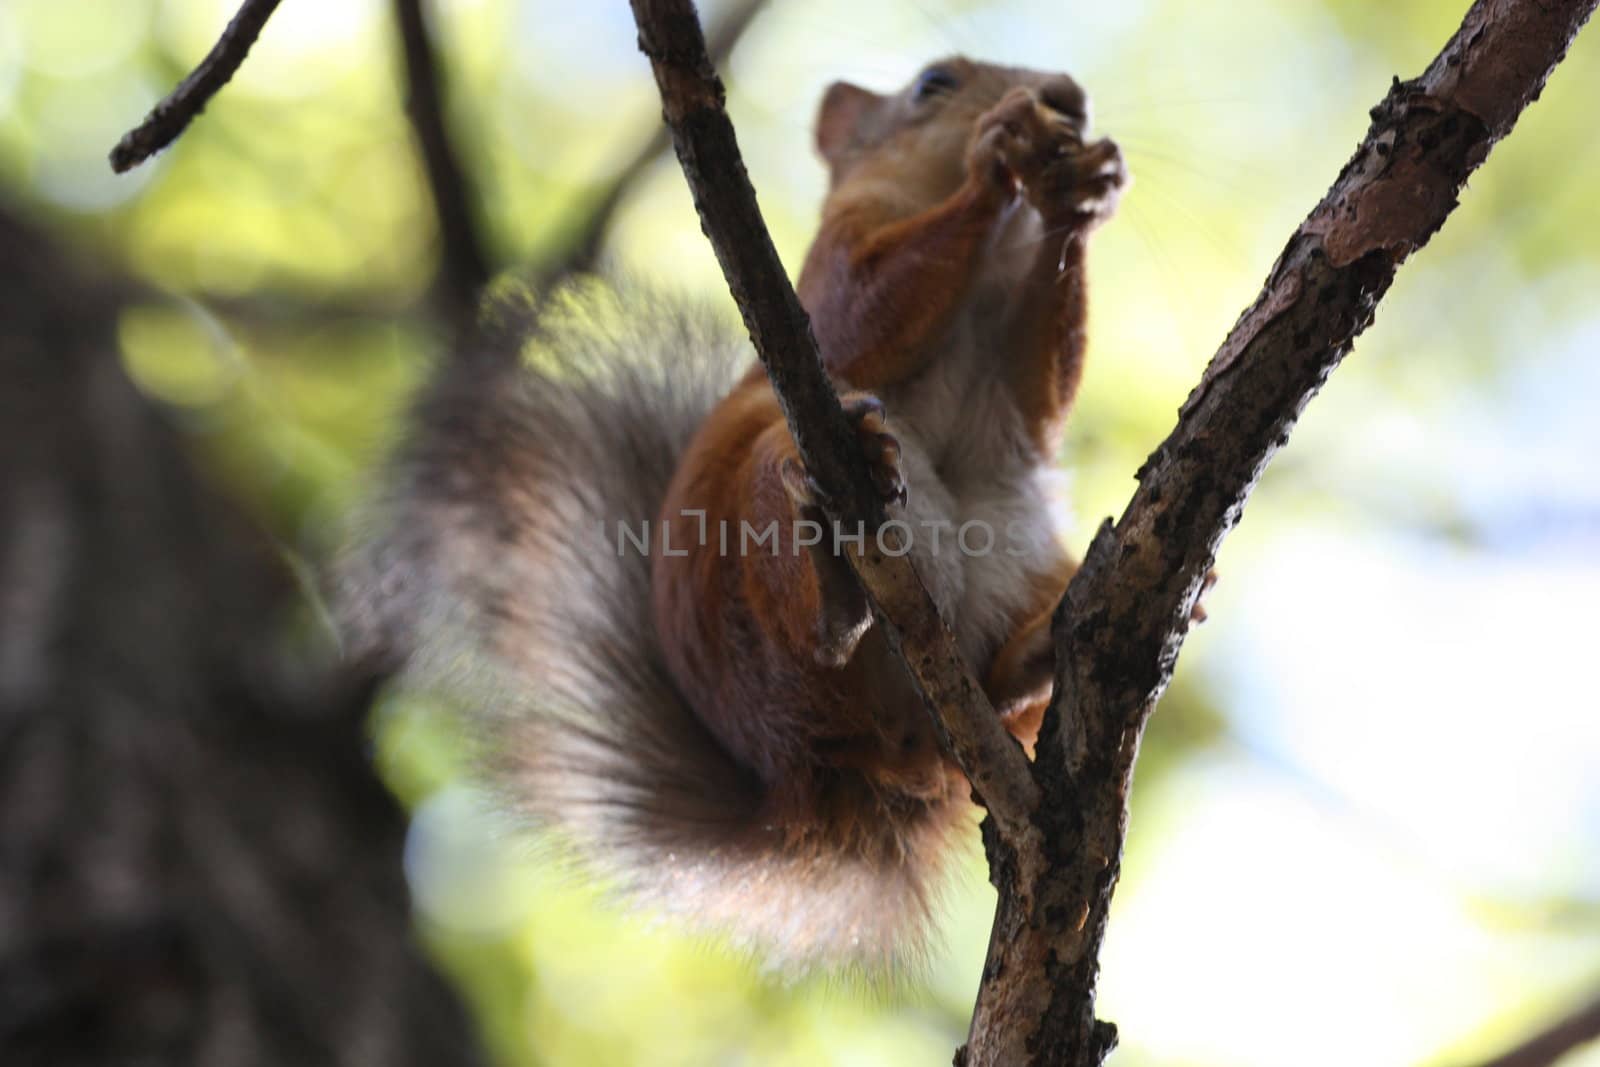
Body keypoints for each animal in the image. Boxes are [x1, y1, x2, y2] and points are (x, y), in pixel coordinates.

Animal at [345, 58, 1132, 979]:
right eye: (933, 83)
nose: (1065, 92)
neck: (996, 263)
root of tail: (823, 767)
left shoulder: (1022, 389)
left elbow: (1043, 396)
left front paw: (1081, 195)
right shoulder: (826, 278)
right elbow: (866, 306)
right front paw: (997, 151)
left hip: (1024, 546)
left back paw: (1037, 653)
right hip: (760, 525)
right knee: (810, 603)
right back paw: (834, 584)